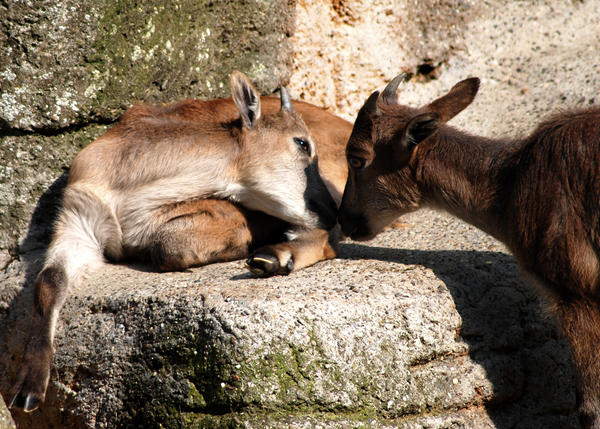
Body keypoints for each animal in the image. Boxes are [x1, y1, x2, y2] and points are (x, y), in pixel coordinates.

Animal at [10, 71, 352, 412]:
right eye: (302, 143)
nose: (331, 210)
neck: (127, 186)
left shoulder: (223, 214)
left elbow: (166, 245)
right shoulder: (78, 224)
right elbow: (48, 281)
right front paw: (28, 387)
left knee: (329, 241)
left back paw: (274, 256)